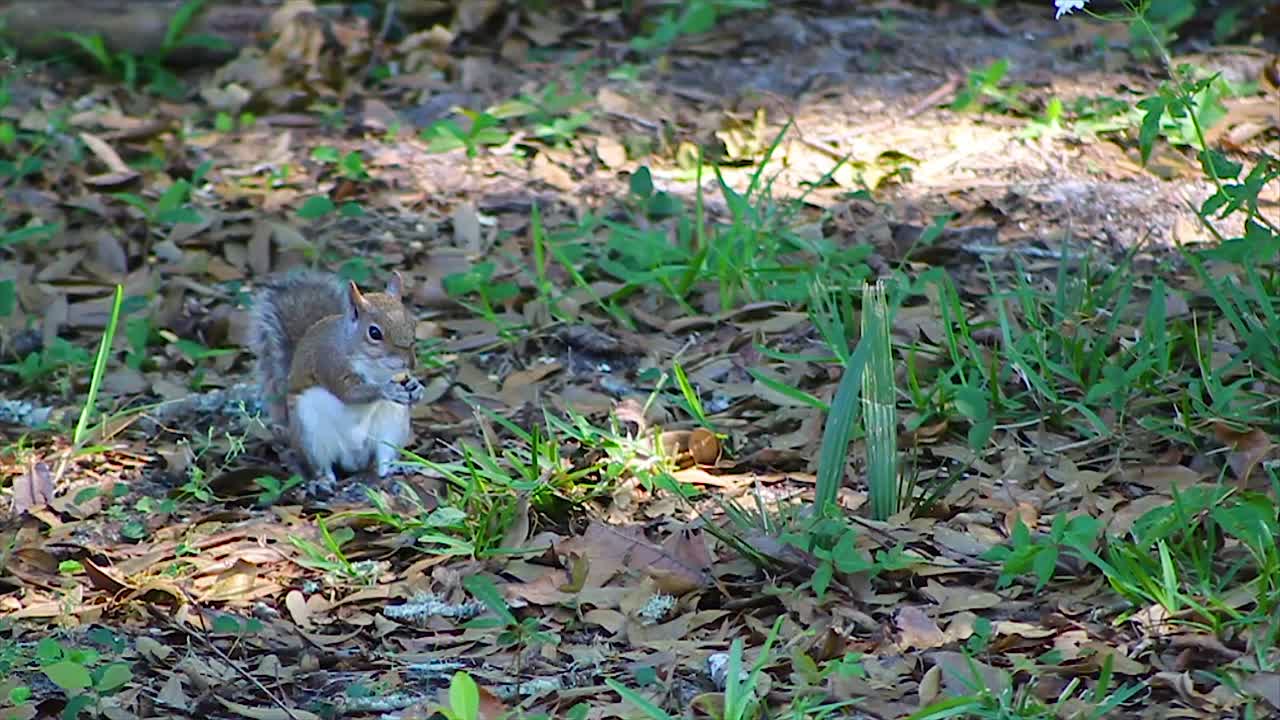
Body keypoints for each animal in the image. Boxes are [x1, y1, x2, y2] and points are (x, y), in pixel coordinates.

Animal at [248, 270, 425, 496]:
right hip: (310, 434)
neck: (374, 365)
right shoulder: (329, 363)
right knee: (323, 467)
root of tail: (353, 460)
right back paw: (321, 482)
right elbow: (349, 393)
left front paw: (416, 387)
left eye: (412, 324)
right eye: (374, 333)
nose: (410, 362)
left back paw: (397, 467)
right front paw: (386, 389)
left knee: (383, 461)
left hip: (392, 427)